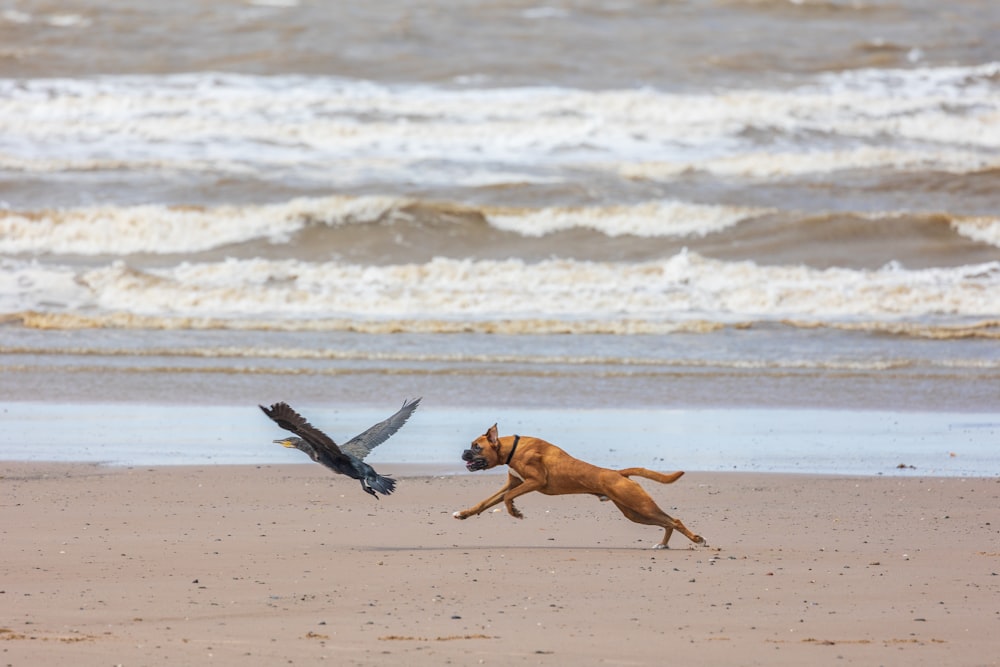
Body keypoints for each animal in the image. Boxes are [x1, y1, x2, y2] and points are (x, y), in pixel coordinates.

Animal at [452, 426, 704, 552]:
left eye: (476, 447)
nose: (463, 452)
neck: (511, 448)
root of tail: (619, 473)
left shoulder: (535, 482)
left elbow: (508, 499)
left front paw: (515, 511)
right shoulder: (513, 483)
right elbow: (486, 502)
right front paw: (463, 514)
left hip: (640, 506)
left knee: (674, 520)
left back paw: (696, 539)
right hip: (633, 512)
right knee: (667, 522)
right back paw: (664, 544)